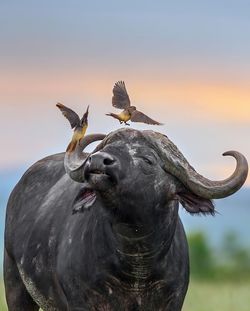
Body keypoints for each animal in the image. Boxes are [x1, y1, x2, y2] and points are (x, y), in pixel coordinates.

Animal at [3, 128, 248, 310]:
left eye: (147, 160)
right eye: (107, 149)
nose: (97, 160)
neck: (136, 263)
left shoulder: (172, 301)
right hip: (14, 283)